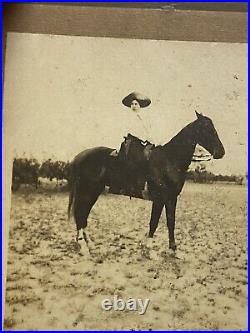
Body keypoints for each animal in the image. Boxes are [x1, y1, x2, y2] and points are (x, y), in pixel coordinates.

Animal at [67, 111, 225, 249]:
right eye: (207, 128)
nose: (221, 152)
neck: (170, 160)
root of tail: (80, 156)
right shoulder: (160, 199)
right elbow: (154, 222)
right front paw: (149, 247)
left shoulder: (171, 198)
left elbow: (171, 222)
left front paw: (173, 248)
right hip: (87, 191)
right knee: (80, 214)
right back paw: (83, 243)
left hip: (93, 191)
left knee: (83, 214)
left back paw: (87, 242)